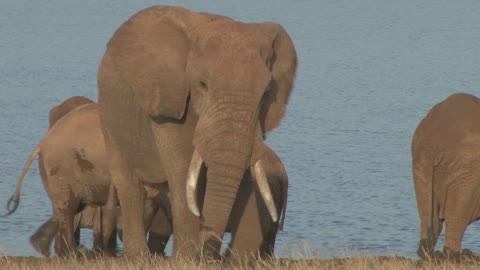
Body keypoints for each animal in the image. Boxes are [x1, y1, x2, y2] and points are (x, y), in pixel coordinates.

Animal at [96, 4, 296, 262]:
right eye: (203, 84)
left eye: (267, 91)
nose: (207, 254)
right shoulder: (170, 99)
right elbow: (183, 170)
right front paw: (186, 260)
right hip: (110, 111)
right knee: (128, 183)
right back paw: (139, 259)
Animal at [410, 92, 480, 260]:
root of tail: (434, 144)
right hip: (467, 169)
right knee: (456, 214)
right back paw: (453, 257)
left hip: (420, 161)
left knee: (428, 213)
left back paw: (427, 255)